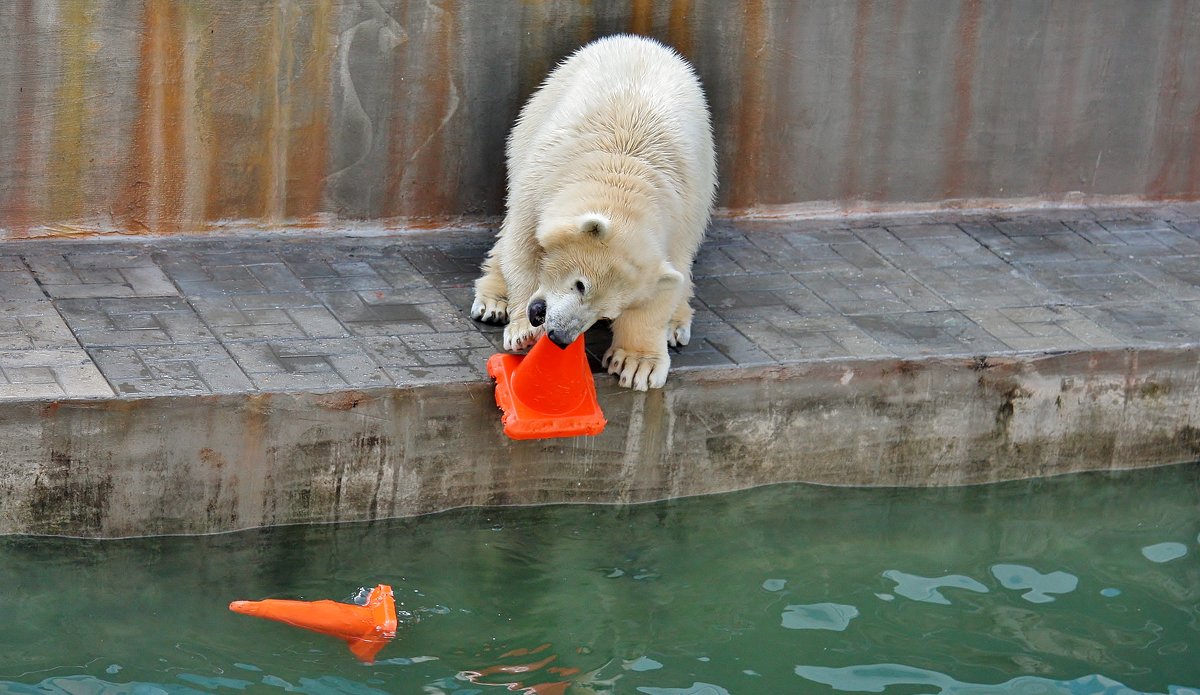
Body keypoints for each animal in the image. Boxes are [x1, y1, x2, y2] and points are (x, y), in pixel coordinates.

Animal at [465, 35, 710, 391]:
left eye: (607, 314)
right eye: (581, 285)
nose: (559, 336)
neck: (624, 171)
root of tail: (640, 41)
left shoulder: (681, 221)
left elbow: (665, 286)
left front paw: (638, 363)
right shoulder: (543, 179)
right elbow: (523, 248)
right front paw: (524, 331)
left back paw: (675, 326)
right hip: (530, 125)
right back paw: (493, 303)